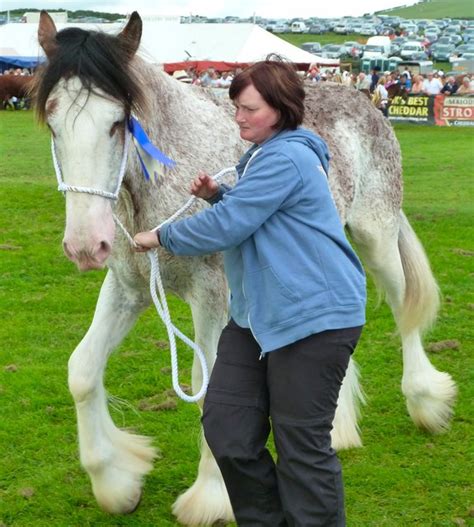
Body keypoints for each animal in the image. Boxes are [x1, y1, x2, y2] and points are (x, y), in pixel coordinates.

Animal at [32, 10, 456, 524]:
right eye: (53, 124)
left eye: (117, 123)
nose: (84, 245)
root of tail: (363, 100)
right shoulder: (129, 289)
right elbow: (82, 371)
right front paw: (116, 482)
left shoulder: (211, 296)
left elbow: (208, 385)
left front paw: (212, 496)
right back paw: (336, 427)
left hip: (377, 236)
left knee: (402, 309)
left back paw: (425, 401)